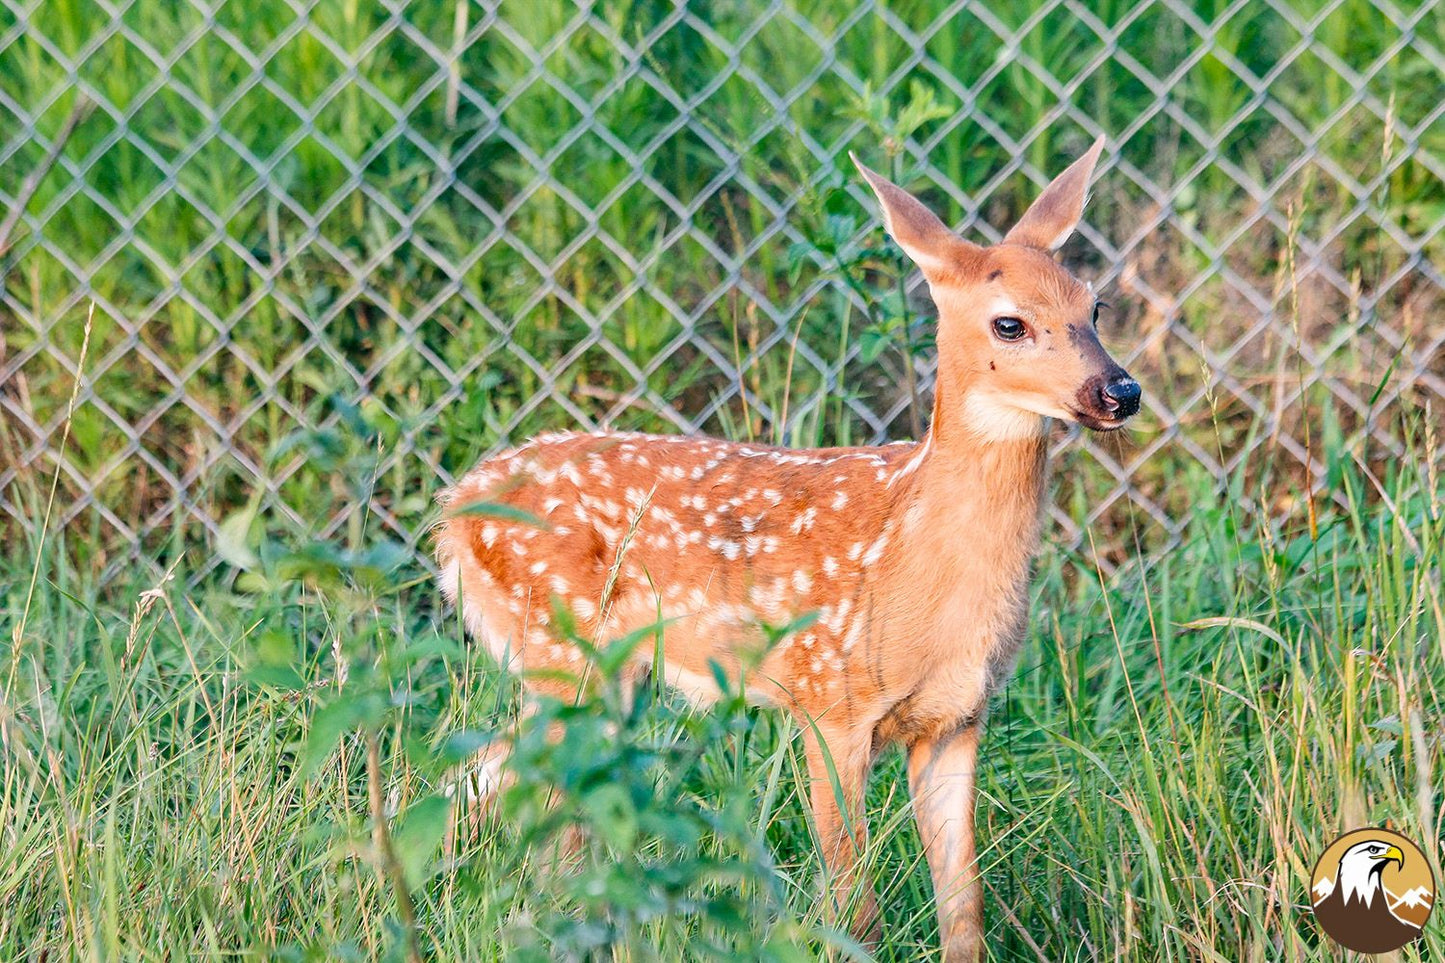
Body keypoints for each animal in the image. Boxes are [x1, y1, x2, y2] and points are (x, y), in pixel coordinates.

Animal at [430, 136, 1138, 960]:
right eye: (1009, 325)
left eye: (1093, 307)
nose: (1119, 392)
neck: (918, 558)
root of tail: (453, 509)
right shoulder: (827, 701)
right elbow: (854, 908)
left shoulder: (957, 717)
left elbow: (965, 910)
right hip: (563, 653)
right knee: (520, 796)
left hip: (605, 674)